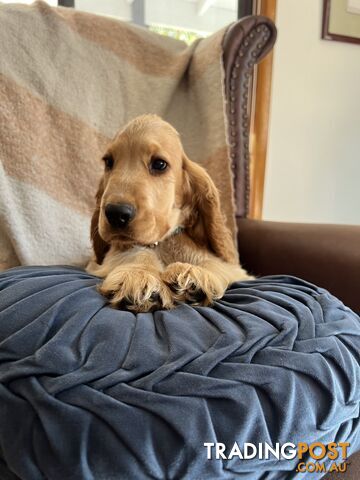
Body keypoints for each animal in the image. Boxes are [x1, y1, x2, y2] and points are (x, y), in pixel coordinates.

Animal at [87, 115, 250, 314]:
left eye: (159, 164)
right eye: (109, 162)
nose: (116, 213)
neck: (163, 243)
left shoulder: (237, 271)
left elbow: (214, 263)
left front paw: (194, 274)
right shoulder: (104, 260)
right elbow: (136, 252)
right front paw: (139, 274)